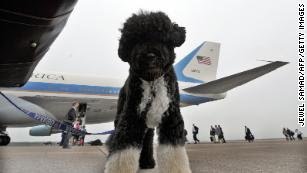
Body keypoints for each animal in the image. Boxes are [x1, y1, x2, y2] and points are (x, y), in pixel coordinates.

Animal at [106, 11, 192, 173]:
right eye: (135, 41)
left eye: (161, 38)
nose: (150, 56)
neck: (152, 82)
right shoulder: (131, 117)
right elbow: (122, 151)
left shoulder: (171, 118)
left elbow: (174, 153)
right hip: (121, 116)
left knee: (147, 140)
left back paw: (147, 162)